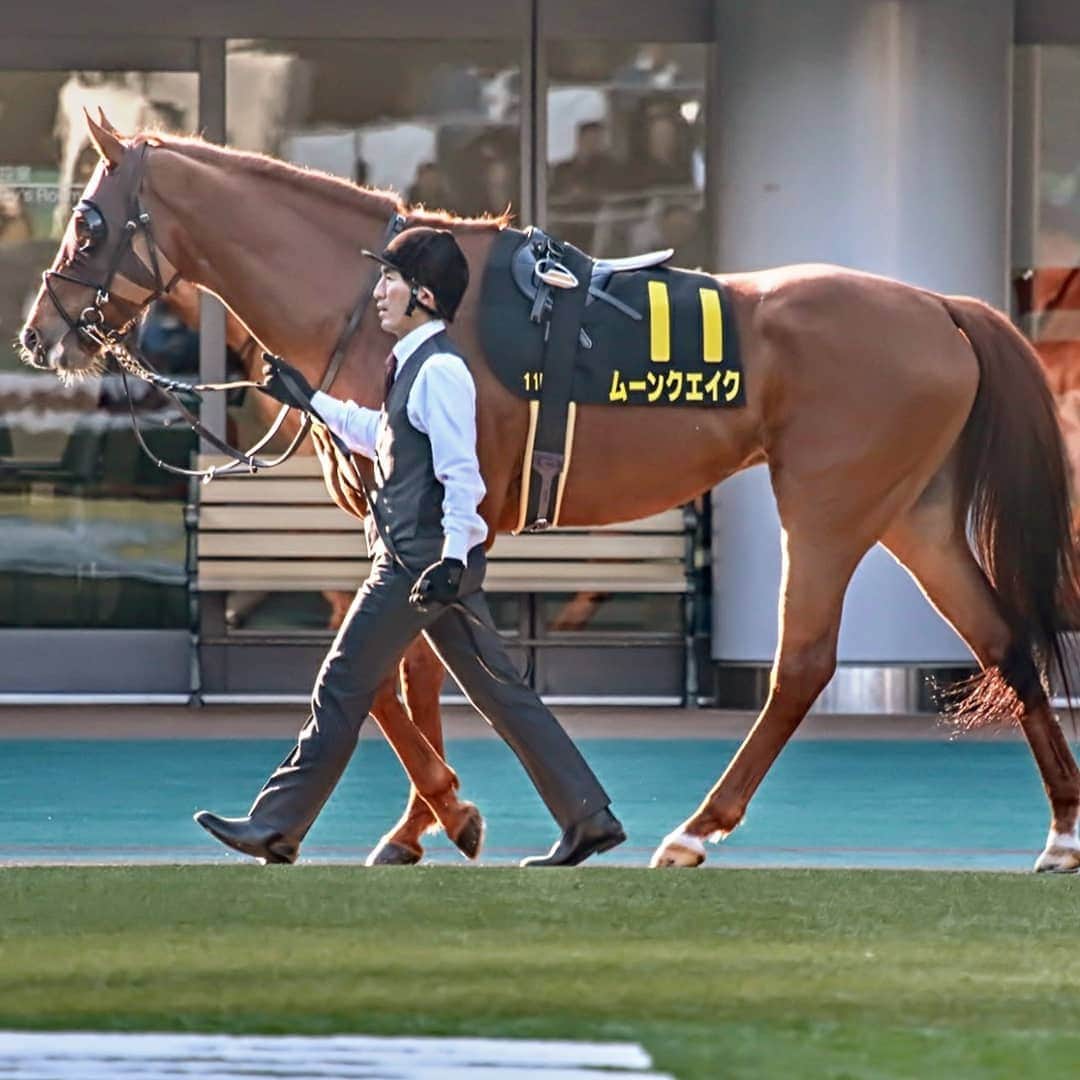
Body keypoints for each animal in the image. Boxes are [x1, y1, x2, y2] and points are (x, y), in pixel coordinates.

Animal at [19, 111, 1080, 873]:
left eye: (88, 219)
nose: (37, 333)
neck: (381, 314)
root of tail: (940, 306)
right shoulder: (417, 527)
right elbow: (413, 671)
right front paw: (418, 825)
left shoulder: (428, 520)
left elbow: (385, 674)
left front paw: (446, 811)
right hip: (916, 513)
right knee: (999, 638)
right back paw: (1062, 833)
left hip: (828, 507)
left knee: (806, 666)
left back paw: (697, 829)